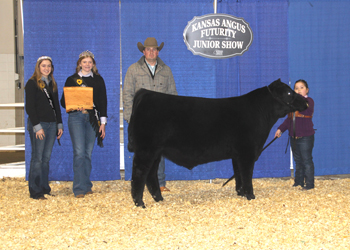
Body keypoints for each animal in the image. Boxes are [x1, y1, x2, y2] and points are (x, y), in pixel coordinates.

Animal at [127, 79, 308, 207]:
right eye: (289, 93)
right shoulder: (247, 152)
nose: (305, 102)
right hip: (146, 150)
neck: (259, 112)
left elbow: (238, 174)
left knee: (151, 175)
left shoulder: (237, 154)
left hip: (156, 152)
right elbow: (247, 174)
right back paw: (140, 203)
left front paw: (241, 193)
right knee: (139, 174)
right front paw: (251, 195)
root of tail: (145, 93)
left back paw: (159, 199)